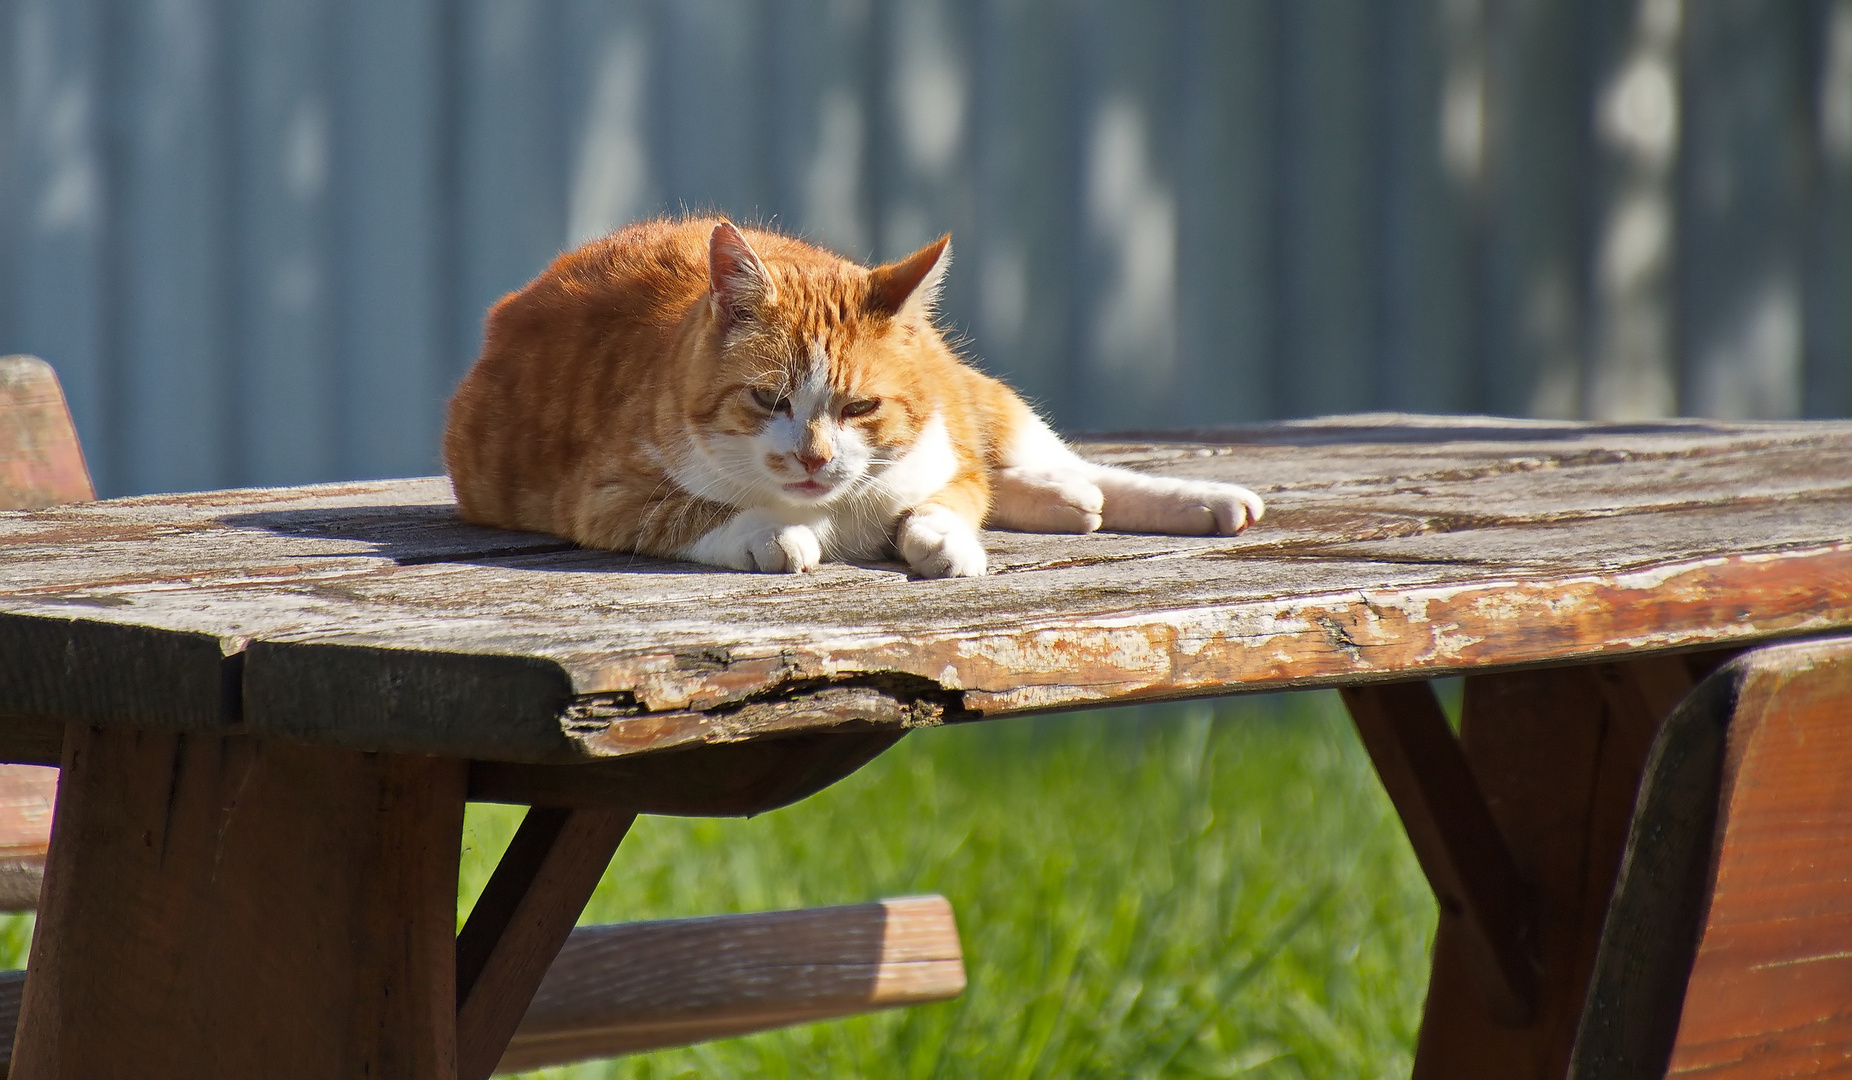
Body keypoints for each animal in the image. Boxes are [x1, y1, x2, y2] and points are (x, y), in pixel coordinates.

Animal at [440, 217, 1266, 574]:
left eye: (860, 407)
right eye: (768, 400)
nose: (813, 458)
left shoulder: (944, 463)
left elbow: (949, 499)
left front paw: (939, 539)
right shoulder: (609, 496)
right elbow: (699, 512)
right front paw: (776, 535)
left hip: (982, 402)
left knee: (1062, 465)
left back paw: (1195, 499)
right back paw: (1067, 504)